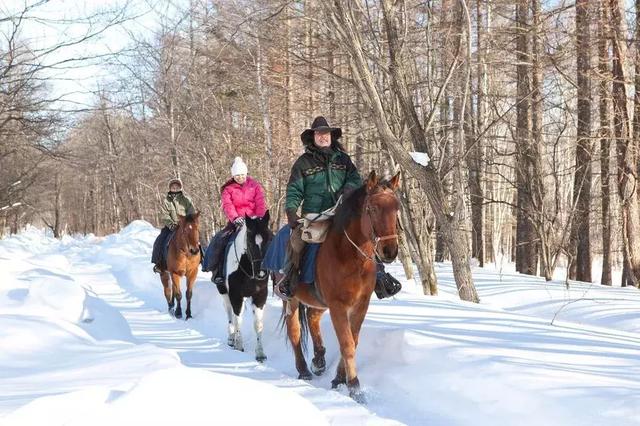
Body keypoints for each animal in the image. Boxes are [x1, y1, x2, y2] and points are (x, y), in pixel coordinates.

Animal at [218, 211, 272, 362]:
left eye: (269, 239)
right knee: (229, 312)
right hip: (224, 292)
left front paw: (260, 353)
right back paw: (231, 338)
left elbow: (258, 324)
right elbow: (238, 320)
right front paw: (238, 346)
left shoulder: (260, 296)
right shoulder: (236, 295)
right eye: (250, 242)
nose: (262, 273)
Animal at [282, 171, 398, 402]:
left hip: (318, 301)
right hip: (291, 299)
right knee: (294, 331)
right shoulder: (338, 306)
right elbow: (347, 344)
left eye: (397, 207)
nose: (390, 250)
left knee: (313, 318)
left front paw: (338, 379)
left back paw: (319, 361)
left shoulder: (360, 305)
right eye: (373, 208)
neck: (351, 257)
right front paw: (354, 387)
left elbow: (354, 340)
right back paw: (304, 370)